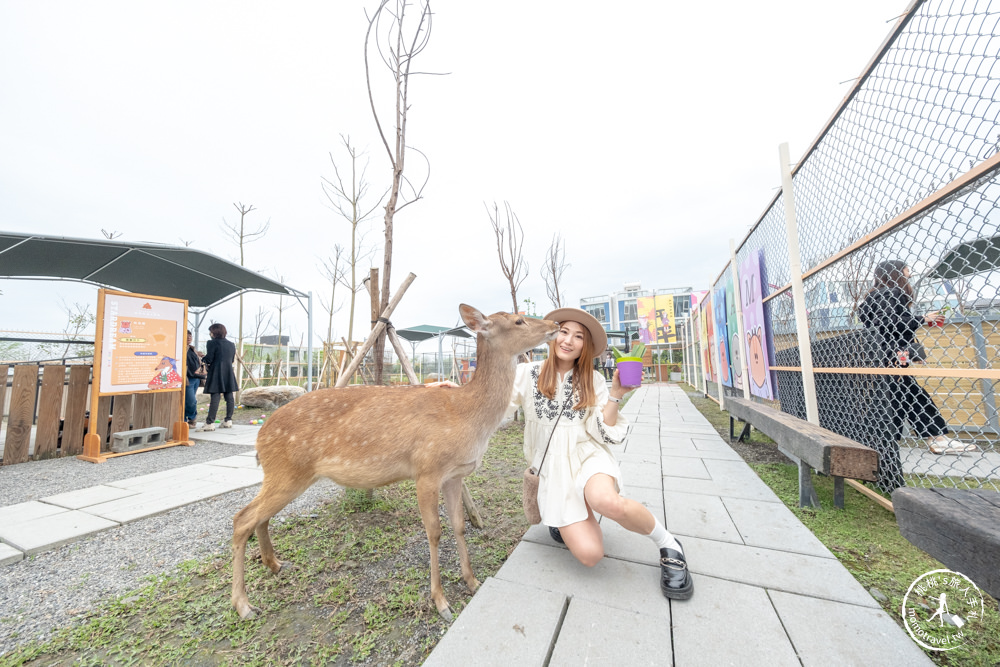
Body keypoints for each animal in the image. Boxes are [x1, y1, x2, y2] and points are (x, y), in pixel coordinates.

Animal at [234, 306, 564, 620]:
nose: (556, 325)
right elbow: (434, 532)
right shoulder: (427, 470)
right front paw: (441, 602)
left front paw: (472, 581)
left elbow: (458, 526)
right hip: (287, 471)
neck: (467, 415)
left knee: (260, 517)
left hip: (283, 475)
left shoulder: (455, 475)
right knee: (242, 519)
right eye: (519, 320)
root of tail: (261, 436)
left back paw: (275, 565)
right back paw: (244, 605)